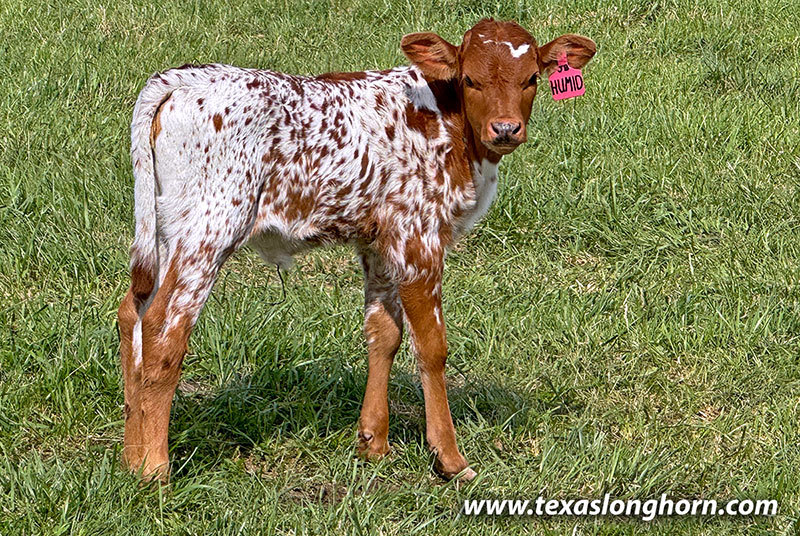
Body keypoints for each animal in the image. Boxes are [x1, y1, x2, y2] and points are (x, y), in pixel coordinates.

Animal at [117, 18, 596, 482]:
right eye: (471, 79)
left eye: (531, 78)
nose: (506, 129)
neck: (450, 124)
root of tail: (186, 77)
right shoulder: (419, 239)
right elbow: (431, 347)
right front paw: (450, 458)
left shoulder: (380, 242)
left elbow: (384, 334)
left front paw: (374, 444)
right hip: (209, 227)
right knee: (164, 326)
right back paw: (155, 469)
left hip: (168, 230)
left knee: (132, 312)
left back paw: (133, 456)